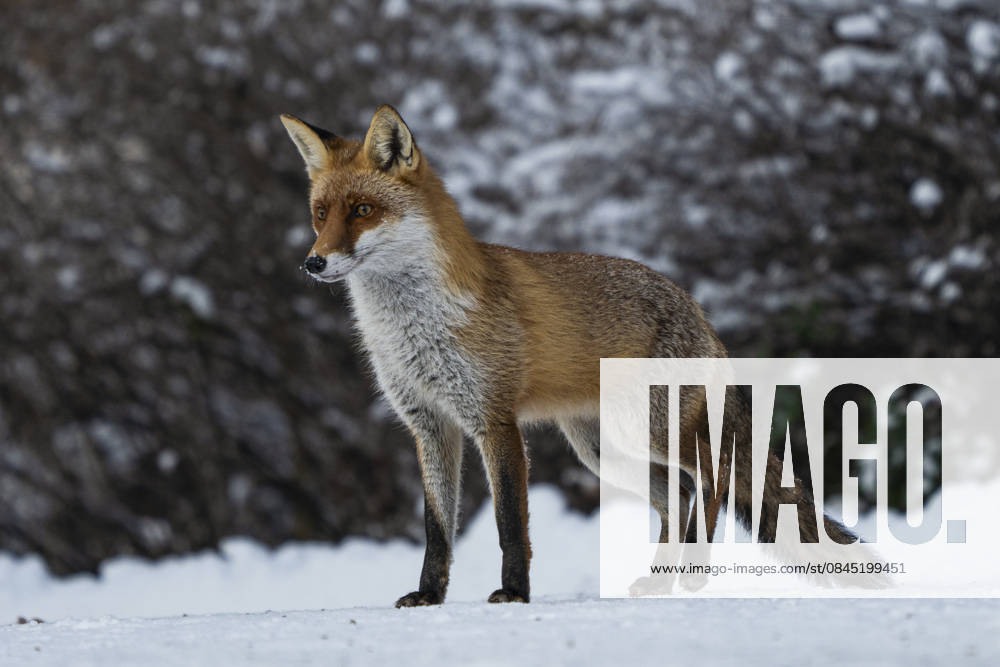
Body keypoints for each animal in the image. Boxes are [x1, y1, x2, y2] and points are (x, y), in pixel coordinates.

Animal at [279, 105, 862, 606]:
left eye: (363, 211)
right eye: (320, 214)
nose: (312, 263)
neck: (414, 328)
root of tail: (698, 309)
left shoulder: (495, 420)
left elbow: (509, 524)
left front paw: (514, 592)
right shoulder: (430, 425)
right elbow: (436, 527)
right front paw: (429, 596)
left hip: (656, 429)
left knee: (713, 471)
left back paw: (694, 574)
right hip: (602, 448)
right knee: (678, 492)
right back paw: (661, 580)